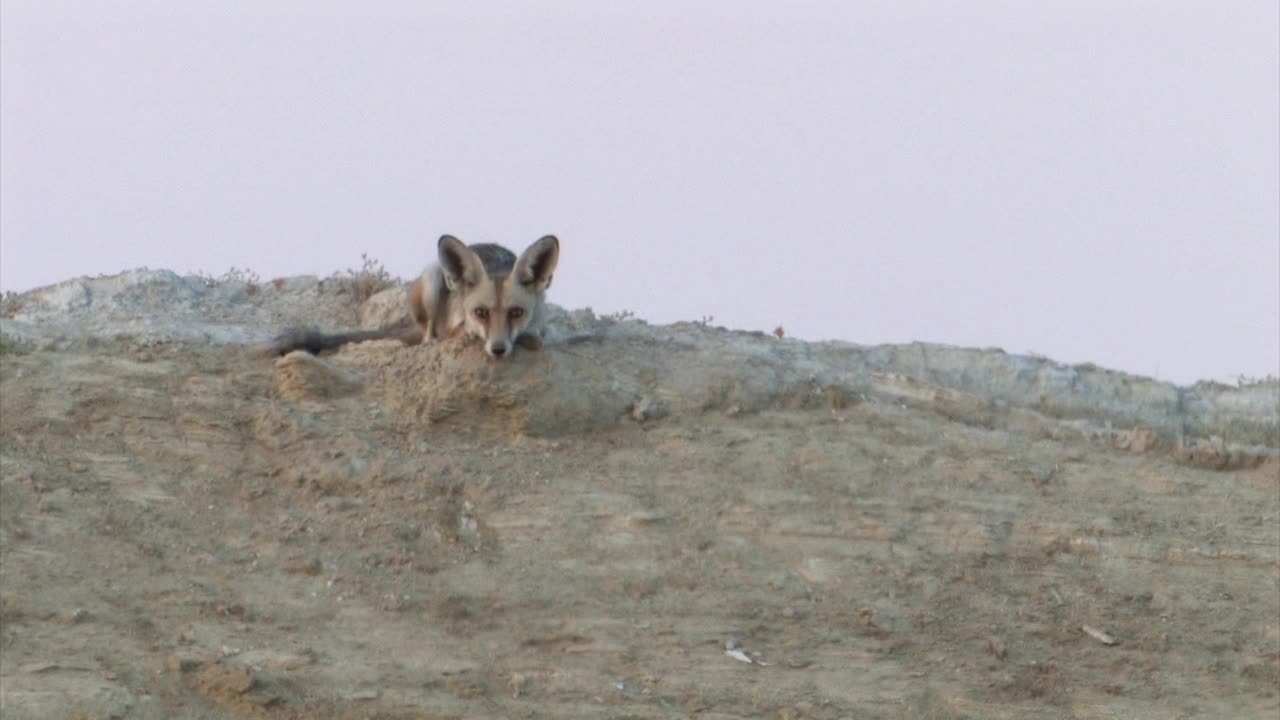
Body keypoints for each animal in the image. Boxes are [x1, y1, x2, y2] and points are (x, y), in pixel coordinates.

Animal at [272, 234, 558, 356]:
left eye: (516, 312)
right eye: (481, 313)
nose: (498, 350)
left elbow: (537, 336)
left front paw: (531, 338)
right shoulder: (458, 328)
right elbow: (457, 333)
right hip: (433, 279)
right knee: (427, 338)